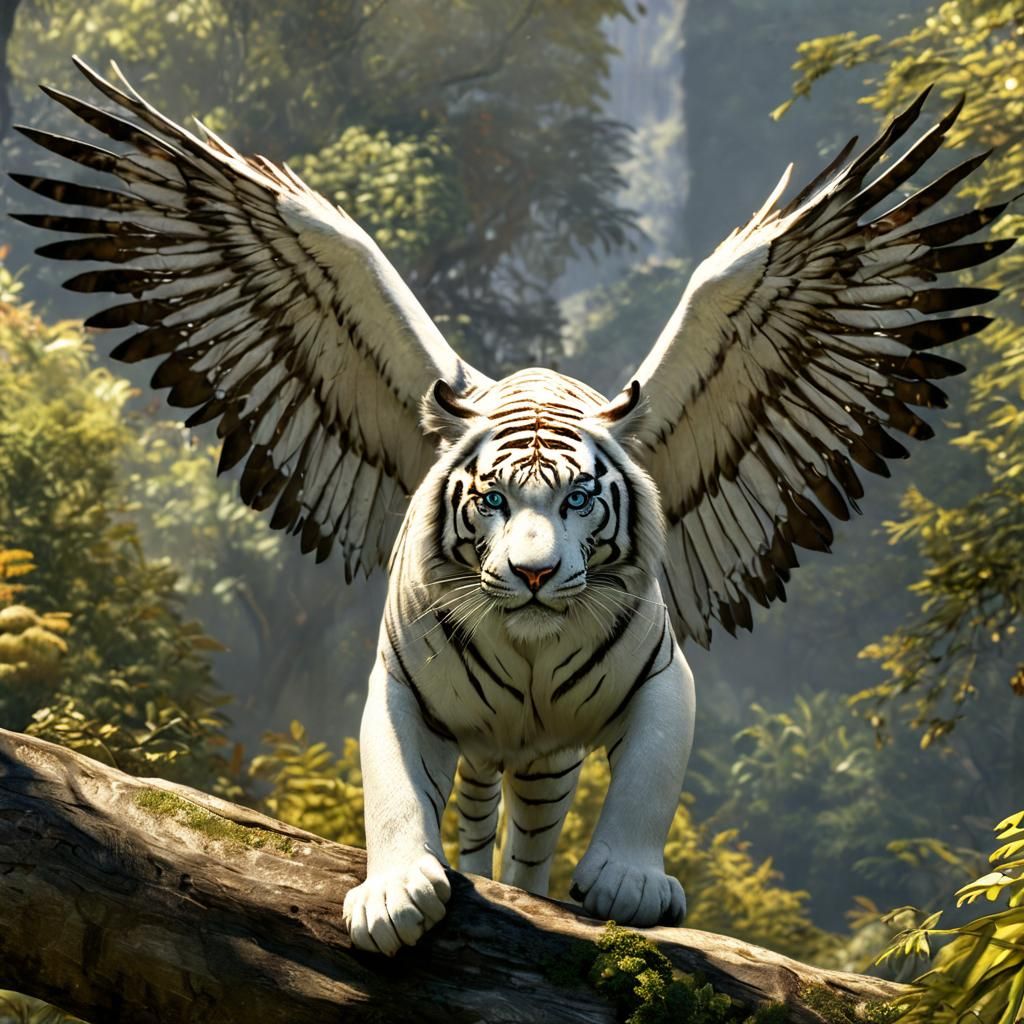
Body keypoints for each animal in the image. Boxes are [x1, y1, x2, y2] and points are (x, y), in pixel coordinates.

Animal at [15, 61, 1013, 956]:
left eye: (578, 501)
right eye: (490, 500)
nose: (533, 574)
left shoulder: (662, 677)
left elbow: (651, 775)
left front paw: (628, 883)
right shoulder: (398, 685)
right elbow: (391, 788)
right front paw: (394, 896)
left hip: (544, 760)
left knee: (530, 839)